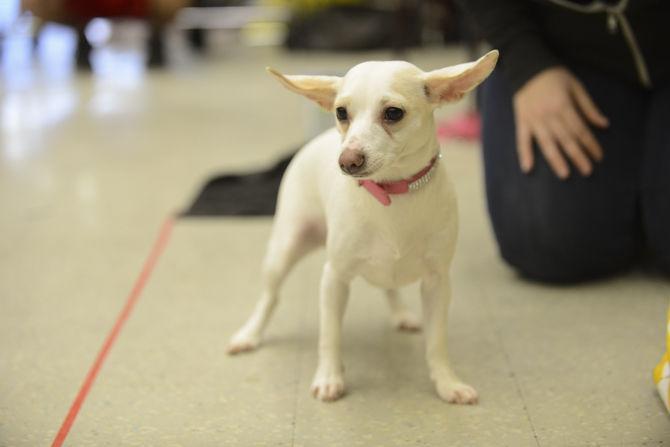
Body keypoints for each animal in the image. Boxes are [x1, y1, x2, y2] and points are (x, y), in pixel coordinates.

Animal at [230, 50, 498, 404]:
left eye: (393, 113)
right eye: (341, 112)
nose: (347, 161)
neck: (391, 193)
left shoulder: (437, 283)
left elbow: (436, 343)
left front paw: (446, 383)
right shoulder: (334, 279)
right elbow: (330, 336)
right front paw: (330, 377)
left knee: (389, 286)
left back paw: (401, 314)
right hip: (284, 249)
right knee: (269, 298)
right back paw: (249, 335)